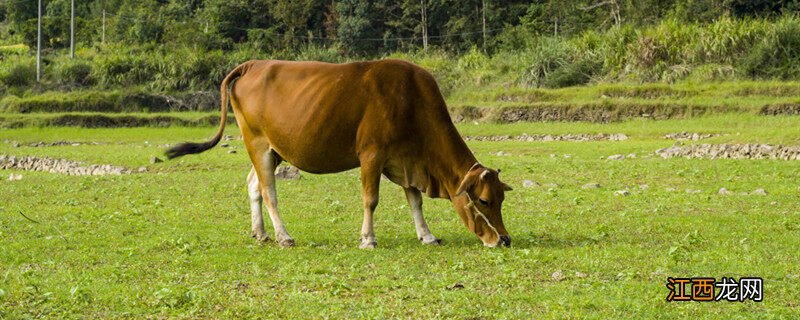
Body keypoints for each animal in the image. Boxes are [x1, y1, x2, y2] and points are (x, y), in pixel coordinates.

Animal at [166, 60, 512, 250]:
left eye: (501, 198)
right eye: (483, 200)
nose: (504, 240)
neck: (412, 102)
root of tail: (252, 65)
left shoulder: (406, 160)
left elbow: (415, 201)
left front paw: (427, 236)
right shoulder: (372, 155)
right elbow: (370, 200)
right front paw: (368, 239)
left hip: (274, 149)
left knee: (253, 185)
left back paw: (261, 233)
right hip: (258, 143)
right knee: (268, 191)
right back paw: (283, 236)